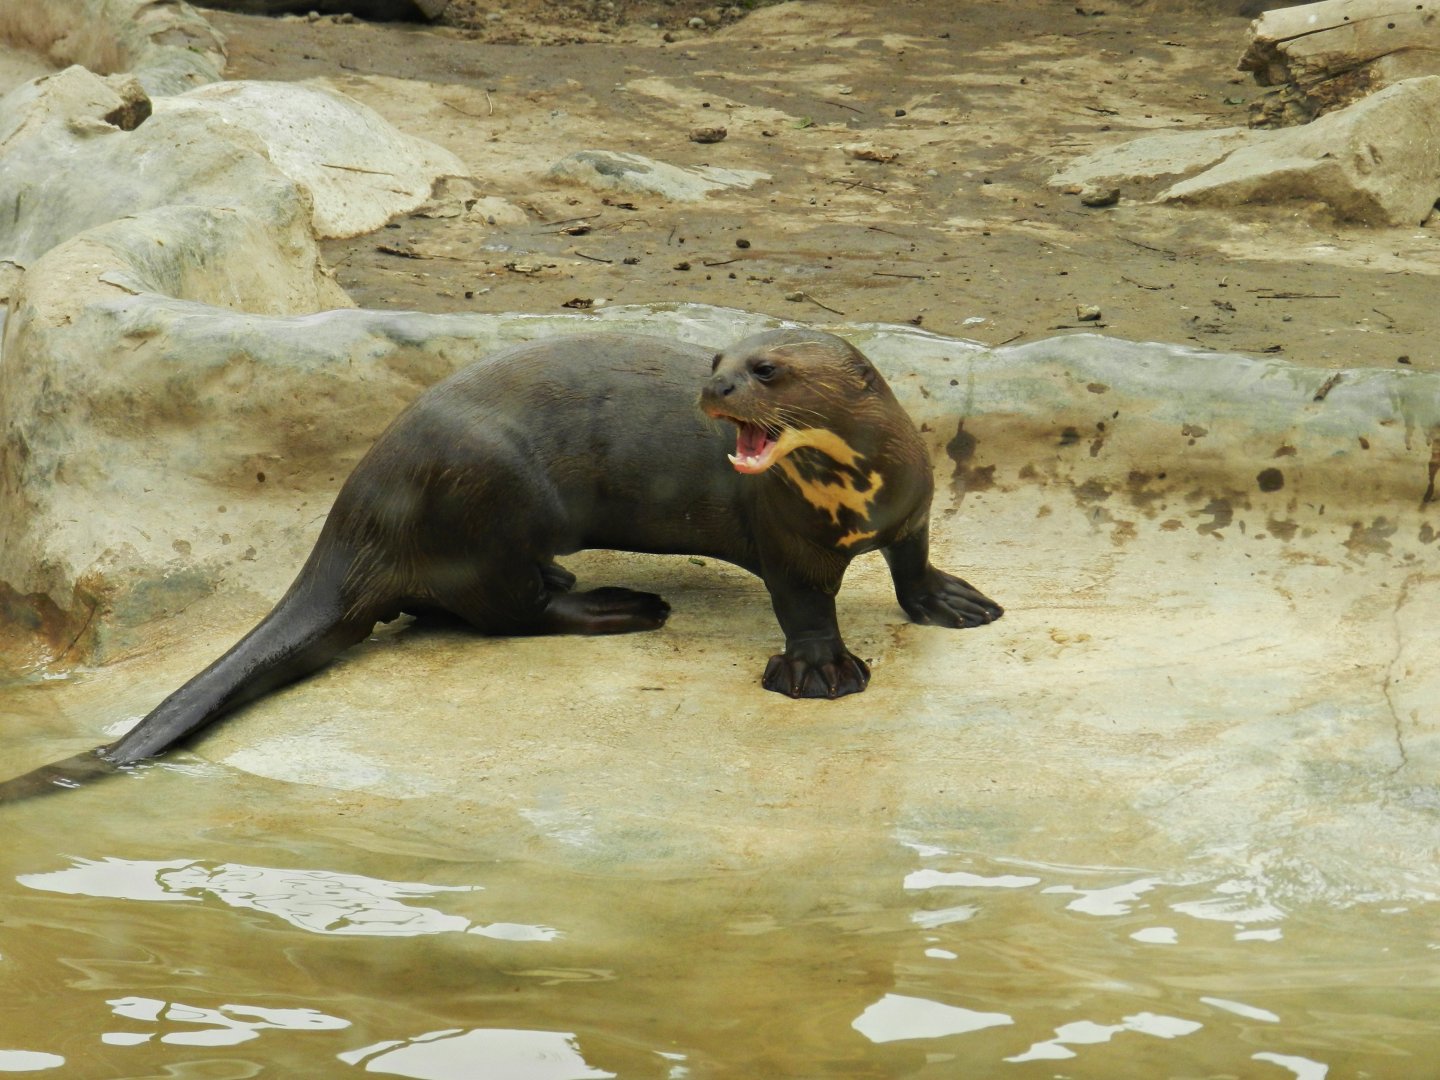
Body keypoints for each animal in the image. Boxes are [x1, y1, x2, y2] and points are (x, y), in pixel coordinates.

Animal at [0, 328, 1002, 799]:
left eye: (768, 369)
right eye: (720, 358)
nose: (713, 387)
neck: (853, 494)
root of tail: (360, 506)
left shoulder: (911, 505)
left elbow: (913, 562)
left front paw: (953, 601)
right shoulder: (785, 543)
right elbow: (803, 608)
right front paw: (821, 670)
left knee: (443, 606)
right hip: (490, 496)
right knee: (504, 609)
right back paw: (614, 605)